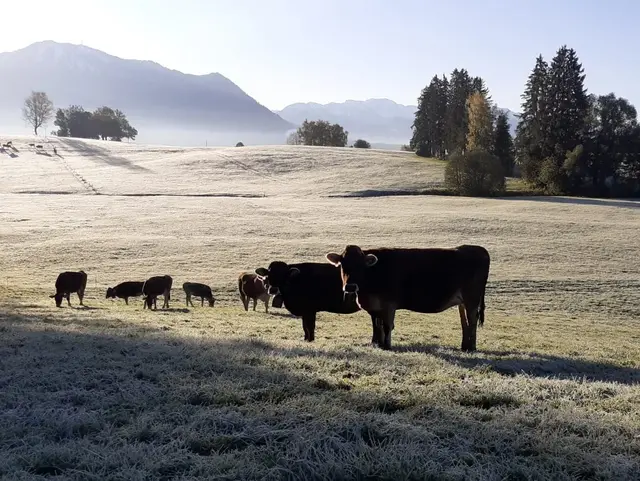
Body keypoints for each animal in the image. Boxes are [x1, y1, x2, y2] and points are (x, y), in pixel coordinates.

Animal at [325, 244, 491, 352]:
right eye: (342, 265)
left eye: (360, 266)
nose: (350, 287)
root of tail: (478, 249)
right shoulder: (375, 306)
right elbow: (377, 325)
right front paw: (377, 343)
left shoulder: (389, 304)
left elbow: (387, 325)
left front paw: (387, 346)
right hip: (462, 301)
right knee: (465, 322)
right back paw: (464, 346)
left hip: (471, 298)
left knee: (472, 320)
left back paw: (471, 348)